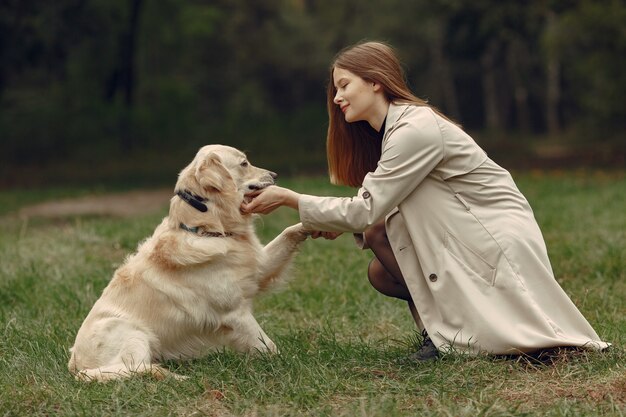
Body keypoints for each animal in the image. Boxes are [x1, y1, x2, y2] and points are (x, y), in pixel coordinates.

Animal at [68, 145, 310, 382]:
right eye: (244, 163)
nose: (275, 175)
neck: (205, 228)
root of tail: (74, 365)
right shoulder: (235, 313)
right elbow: (268, 346)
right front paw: (286, 363)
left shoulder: (260, 268)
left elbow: (288, 232)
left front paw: (309, 221)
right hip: (132, 333)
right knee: (135, 368)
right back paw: (175, 376)